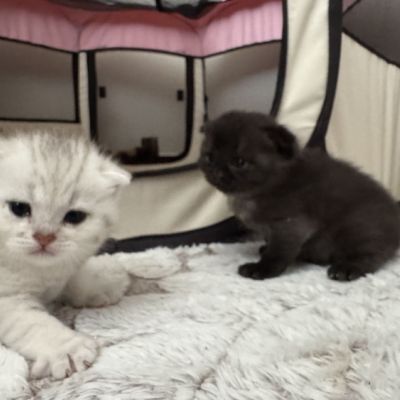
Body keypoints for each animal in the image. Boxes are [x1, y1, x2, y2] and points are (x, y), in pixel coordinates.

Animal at [0, 131, 130, 380]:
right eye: (19, 208)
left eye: (75, 216)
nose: (44, 236)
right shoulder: (6, 300)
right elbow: (34, 322)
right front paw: (68, 349)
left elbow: (74, 280)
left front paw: (102, 284)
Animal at [199, 111, 400, 281]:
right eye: (209, 158)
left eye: (239, 162)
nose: (216, 172)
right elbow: (271, 243)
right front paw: (264, 249)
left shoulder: (291, 223)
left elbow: (278, 251)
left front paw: (262, 269)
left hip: (357, 227)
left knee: (372, 254)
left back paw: (347, 268)